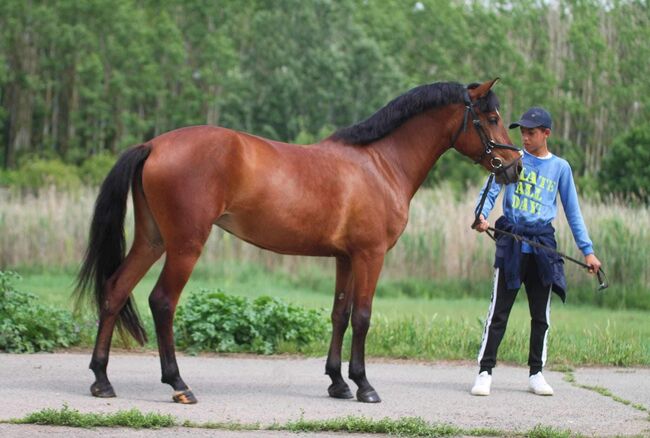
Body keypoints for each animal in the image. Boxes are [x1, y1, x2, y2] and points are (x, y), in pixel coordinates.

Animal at [76, 78, 520, 404]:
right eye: (492, 116)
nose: (514, 168)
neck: (379, 165)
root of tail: (153, 145)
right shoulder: (370, 255)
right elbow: (363, 316)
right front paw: (365, 386)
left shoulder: (345, 258)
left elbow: (340, 314)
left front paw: (338, 383)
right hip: (185, 245)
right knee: (162, 302)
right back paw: (179, 385)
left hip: (152, 241)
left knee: (116, 290)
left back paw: (101, 380)